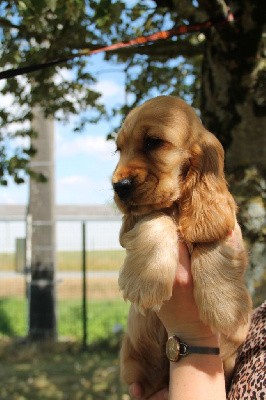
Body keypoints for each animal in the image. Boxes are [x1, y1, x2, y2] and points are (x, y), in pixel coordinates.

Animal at [111, 94, 251, 396]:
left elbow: (210, 241)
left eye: (153, 142)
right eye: (119, 150)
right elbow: (157, 216)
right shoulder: (144, 217)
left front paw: (226, 308)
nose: (119, 186)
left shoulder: (227, 225)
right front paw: (146, 280)